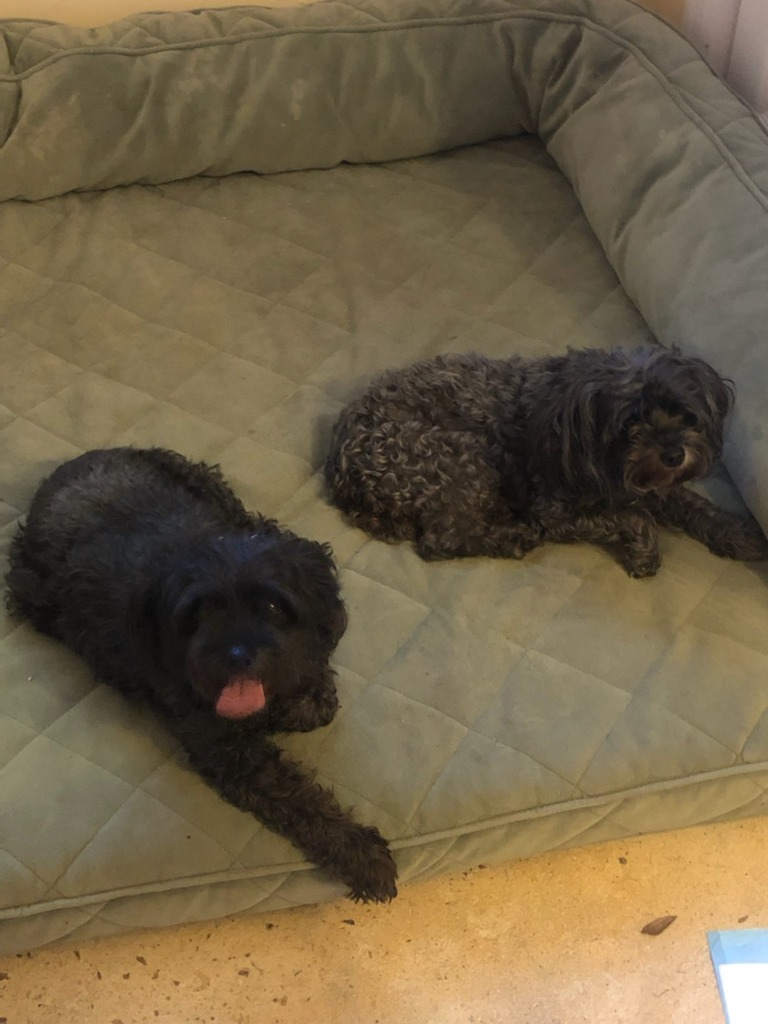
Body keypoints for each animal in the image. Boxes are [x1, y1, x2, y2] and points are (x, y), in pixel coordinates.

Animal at [5, 447, 397, 903]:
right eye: (201, 610)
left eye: (273, 606)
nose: (238, 657)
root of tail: (70, 464)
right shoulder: (229, 752)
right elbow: (298, 798)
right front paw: (360, 852)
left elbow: (315, 690)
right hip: (30, 592)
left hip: (208, 484)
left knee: (253, 521)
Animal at [325, 345, 768, 577]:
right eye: (631, 423)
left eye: (681, 411)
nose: (674, 453)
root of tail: (342, 472)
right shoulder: (555, 511)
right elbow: (632, 517)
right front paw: (644, 552)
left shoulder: (650, 483)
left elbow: (691, 504)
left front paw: (738, 532)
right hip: (462, 458)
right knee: (442, 540)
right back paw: (512, 536)